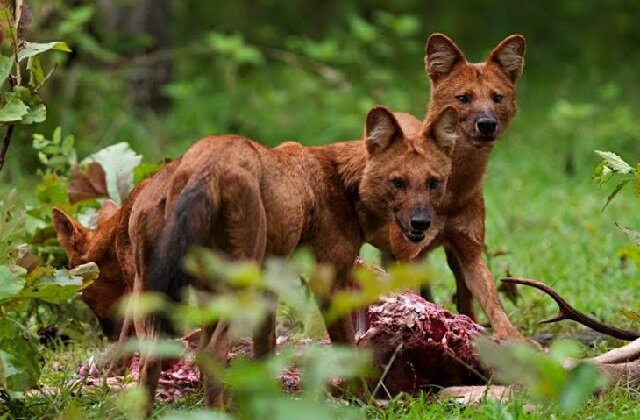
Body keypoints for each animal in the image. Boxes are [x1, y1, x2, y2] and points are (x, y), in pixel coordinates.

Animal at [136, 106, 456, 410]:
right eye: (398, 183)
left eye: (433, 183)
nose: (421, 223)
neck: (344, 183)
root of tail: (209, 165)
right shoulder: (327, 281)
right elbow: (348, 353)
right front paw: (368, 404)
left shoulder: (269, 285)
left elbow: (265, 352)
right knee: (211, 353)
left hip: (196, 289)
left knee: (154, 357)